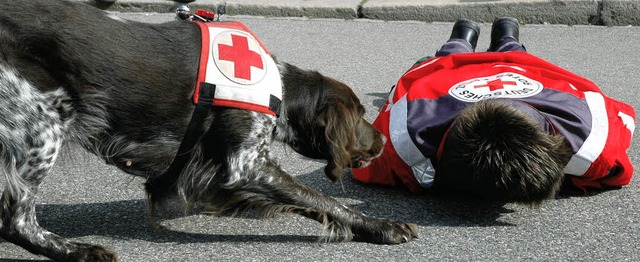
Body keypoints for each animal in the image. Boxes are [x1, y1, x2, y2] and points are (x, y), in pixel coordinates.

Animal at [0, 0, 418, 260]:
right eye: (360, 114)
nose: (383, 138)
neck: (280, 88)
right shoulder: (246, 165)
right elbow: (324, 200)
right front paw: (380, 226)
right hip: (46, 125)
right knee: (17, 221)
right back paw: (77, 249)